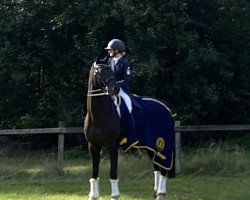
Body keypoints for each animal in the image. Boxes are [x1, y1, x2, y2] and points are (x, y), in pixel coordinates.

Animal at [84, 55, 176, 200]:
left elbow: (113, 170)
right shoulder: (93, 145)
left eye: (110, 70)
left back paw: (161, 193)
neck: (98, 114)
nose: (115, 89)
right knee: (156, 166)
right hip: (151, 145)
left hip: (162, 144)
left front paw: (114, 195)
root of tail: (166, 107)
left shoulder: (112, 144)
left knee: (163, 168)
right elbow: (94, 170)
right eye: (100, 71)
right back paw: (156, 192)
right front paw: (93, 195)